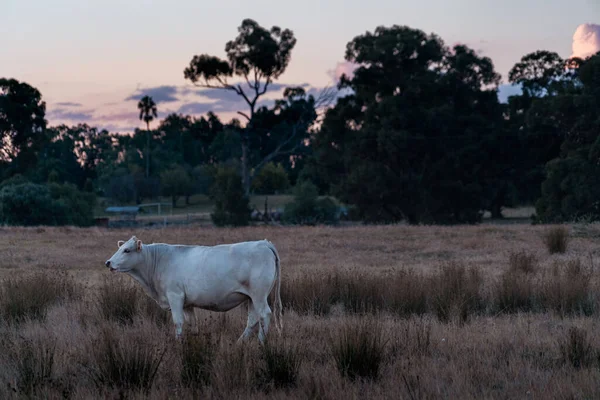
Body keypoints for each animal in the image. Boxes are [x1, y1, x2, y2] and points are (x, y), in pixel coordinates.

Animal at [104, 234, 282, 344]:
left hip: (259, 295)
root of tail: (264, 243)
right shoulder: (187, 304)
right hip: (251, 297)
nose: (108, 262)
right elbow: (193, 325)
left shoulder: (175, 296)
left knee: (264, 315)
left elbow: (178, 322)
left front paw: (178, 344)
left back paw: (260, 342)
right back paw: (240, 343)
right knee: (252, 320)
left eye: (127, 250)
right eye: (119, 248)